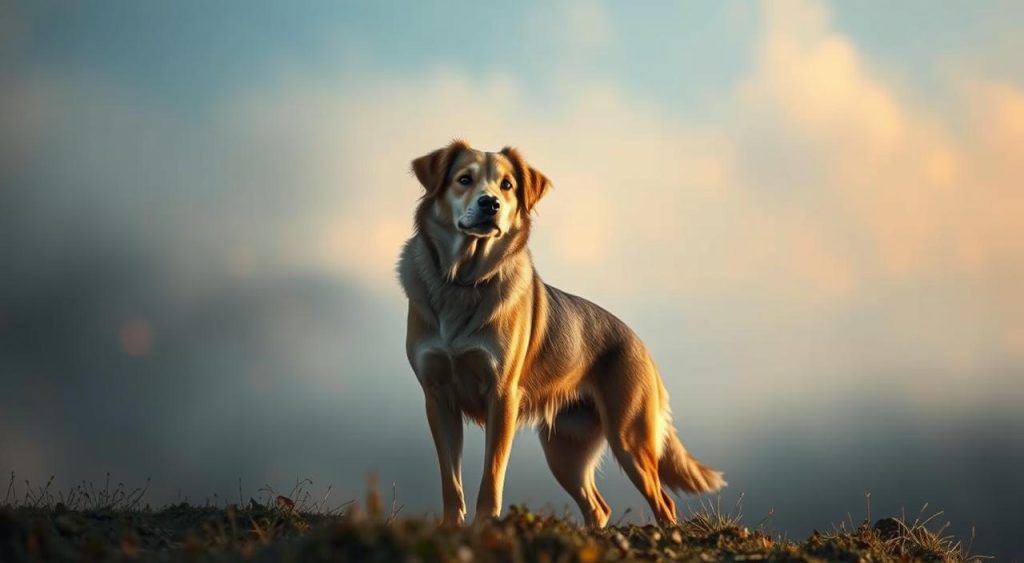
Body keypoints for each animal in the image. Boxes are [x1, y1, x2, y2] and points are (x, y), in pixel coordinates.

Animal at [395, 141, 724, 528]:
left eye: (507, 185)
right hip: (565, 451)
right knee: (598, 506)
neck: (463, 281)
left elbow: (491, 477)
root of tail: (640, 345)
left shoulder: (502, 397)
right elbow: (451, 481)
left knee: (664, 502)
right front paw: (452, 527)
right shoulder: (438, 399)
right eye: (464, 179)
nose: (490, 203)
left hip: (629, 439)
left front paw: (485, 525)